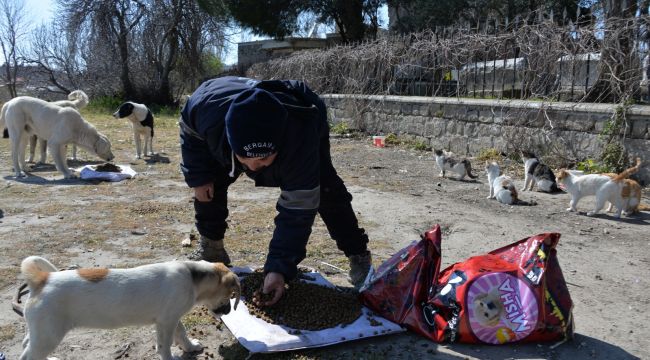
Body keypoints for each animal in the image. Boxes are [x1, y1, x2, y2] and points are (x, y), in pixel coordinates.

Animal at [19, 256, 240, 360]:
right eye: (230, 295)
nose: (229, 312)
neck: (191, 276)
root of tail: (42, 279)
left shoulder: (171, 318)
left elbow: (182, 333)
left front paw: (191, 347)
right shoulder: (166, 322)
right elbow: (165, 346)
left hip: (40, 333)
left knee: (26, 345)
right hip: (49, 336)